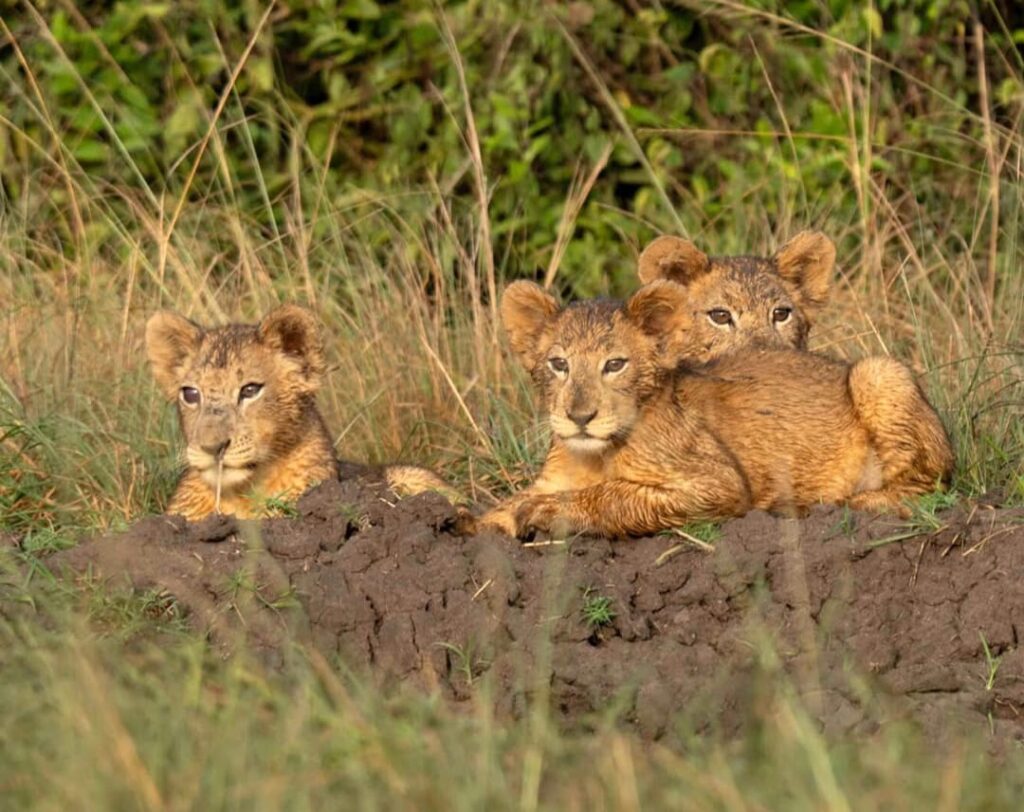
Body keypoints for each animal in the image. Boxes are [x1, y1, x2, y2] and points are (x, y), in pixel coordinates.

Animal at [479, 280, 953, 539]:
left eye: (614, 364)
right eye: (558, 364)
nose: (579, 417)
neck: (595, 455)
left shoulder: (719, 483)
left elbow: (614, 496)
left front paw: (543, 512)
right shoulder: (551, 477)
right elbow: (510, 502)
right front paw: (482, 522)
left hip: (879, 372)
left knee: (927, 486)